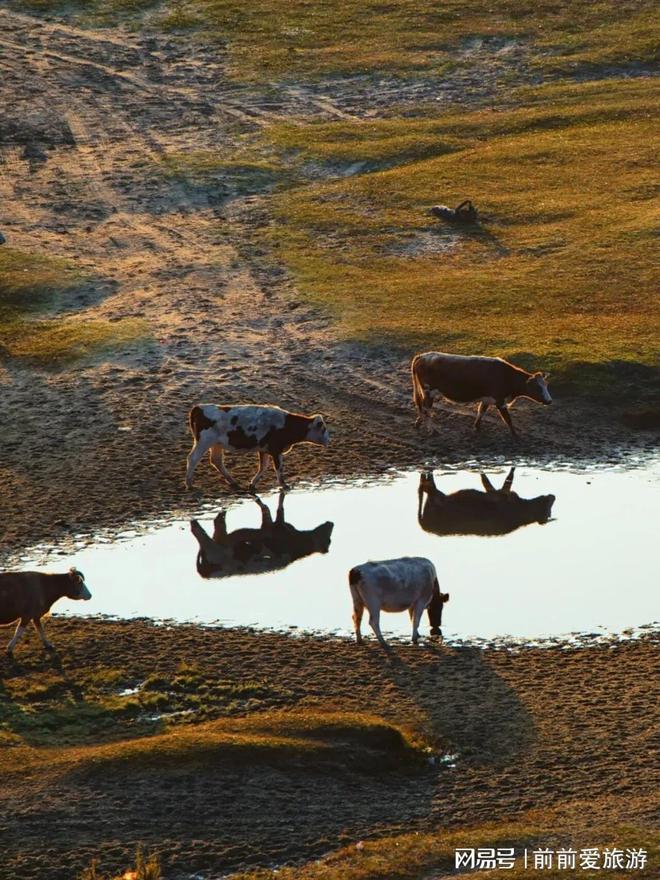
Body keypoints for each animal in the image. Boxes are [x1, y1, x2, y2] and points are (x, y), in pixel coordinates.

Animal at [186, 402, 330, 492]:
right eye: (323, 429)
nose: (329, 440)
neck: (286, 424)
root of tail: (199, 407)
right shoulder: (276, 449)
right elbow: (278, 468)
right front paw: (284, 485)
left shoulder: (264, 449)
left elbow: (263, 467)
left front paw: (252, 484)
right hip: (204, 441)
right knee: (193, 458)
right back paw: (189, 484)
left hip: (216, 444)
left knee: (216, 461)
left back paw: (233, 482)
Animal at [191, 492, 336, 580]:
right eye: (329, 540)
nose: (332, 523)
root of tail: (203, 573)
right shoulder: (274, 527)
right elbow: (271, 510)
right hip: (212, 549)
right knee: (198, 532)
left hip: (218, 538)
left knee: (217, 523)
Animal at [412, 348, 552, 434]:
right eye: (537, 387)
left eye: (546, 385)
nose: (550, 401)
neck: (507, 376)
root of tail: (423, 356)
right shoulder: (500, 401)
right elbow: (508, 419)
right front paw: (515, 435)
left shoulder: (487, 398)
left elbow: (481, 412)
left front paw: (477, 427)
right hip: (429, 392)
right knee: (426, 409)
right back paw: (432, 430)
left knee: (421, 407)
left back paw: (418, 423)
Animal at [420, 468, 556, 536]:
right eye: (548, 510)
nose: (553, 496)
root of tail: (424, 526)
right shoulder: (498, 494)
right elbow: (491, 479)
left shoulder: (498, 494)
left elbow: (500, 479)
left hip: (434, 499)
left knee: (427, 486)